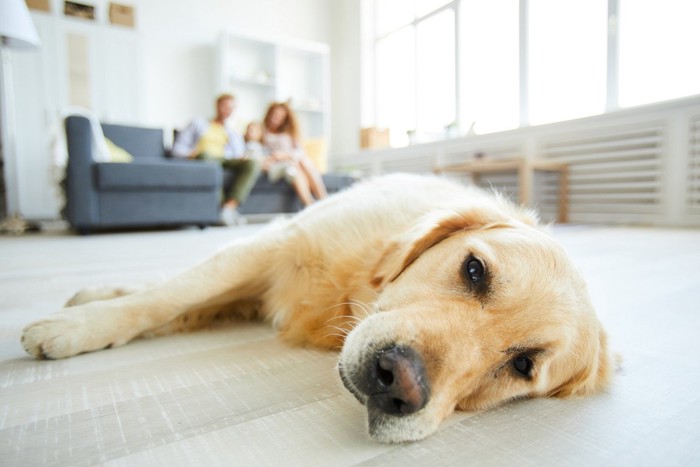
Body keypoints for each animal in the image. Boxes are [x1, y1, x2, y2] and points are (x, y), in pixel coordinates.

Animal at [20, 174, 612, 444]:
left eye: (523, 366)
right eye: (474, 270)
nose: (398, 382)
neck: (353, 292)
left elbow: (180, 303)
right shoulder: (272, 245)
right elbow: (169, 297)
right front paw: (76, 328)